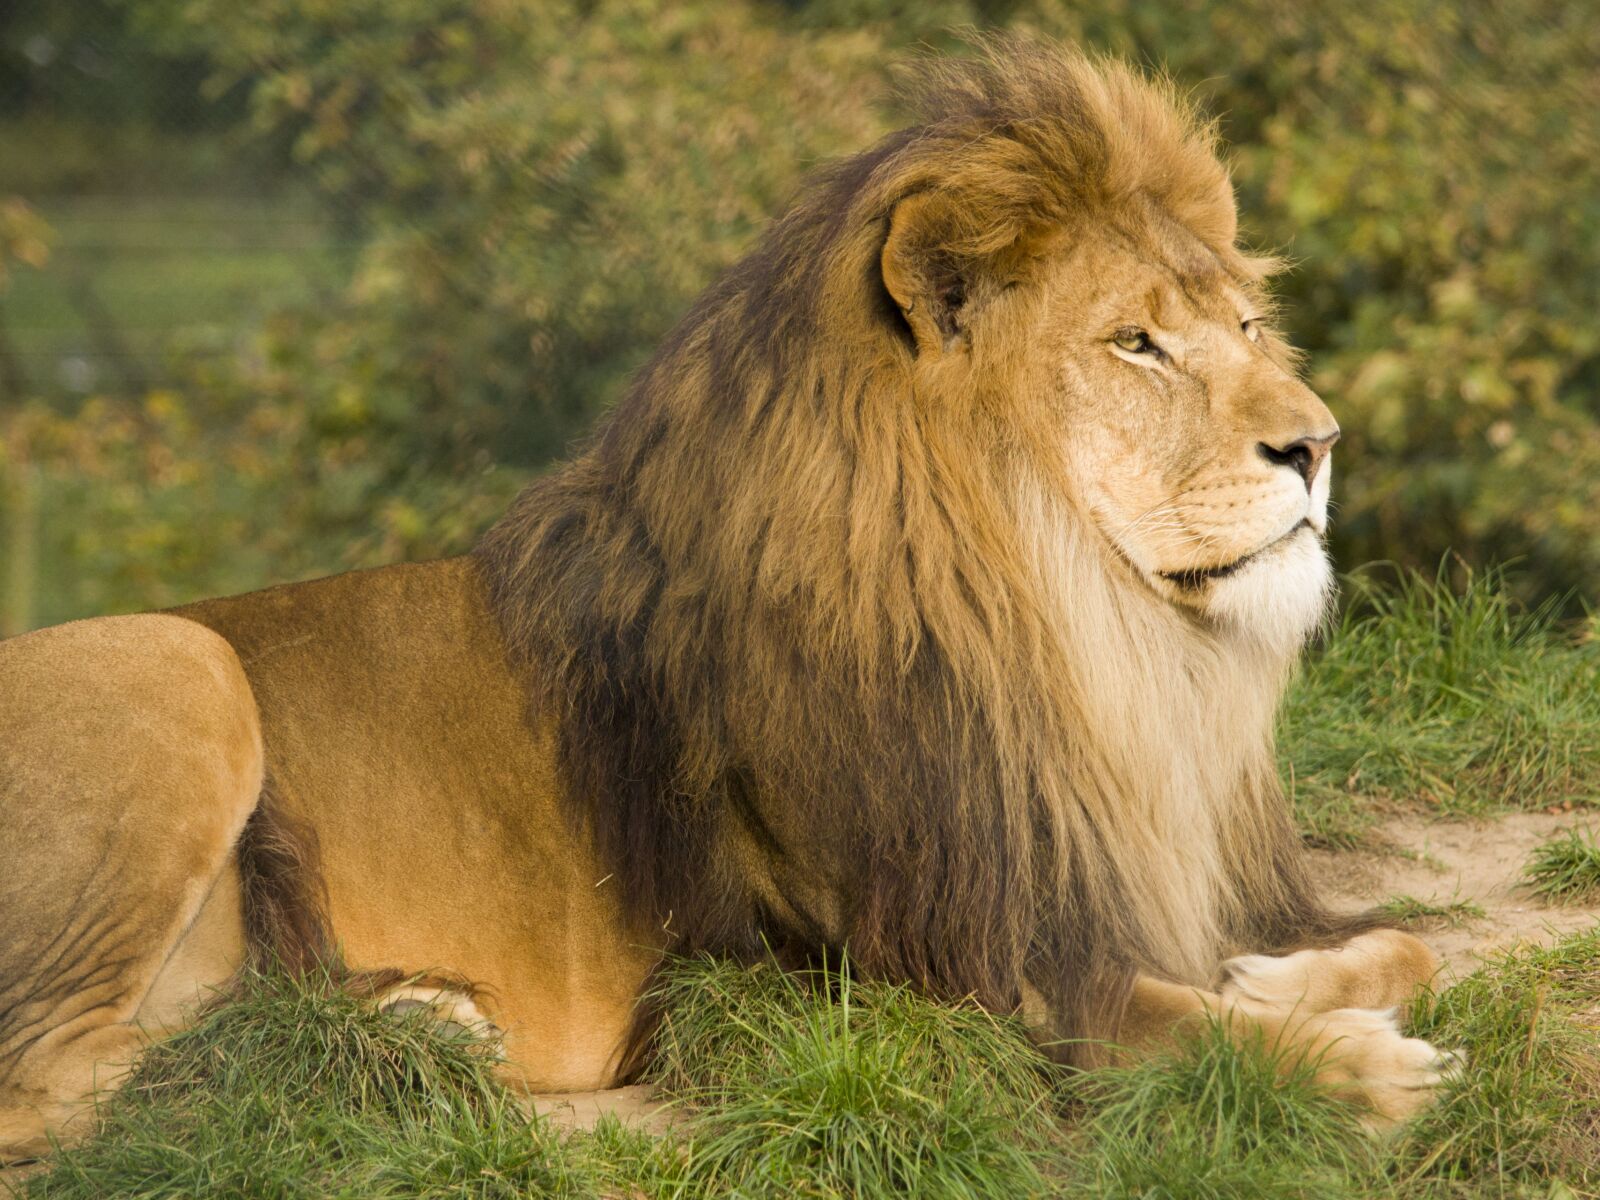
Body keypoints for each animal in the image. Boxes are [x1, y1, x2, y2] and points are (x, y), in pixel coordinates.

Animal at [0, 39, 1457, 1162]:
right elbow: (1166, 1032)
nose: (1319, 444)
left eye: (1247, 327)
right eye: (1134, 343)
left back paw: (408, 1023)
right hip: (176, 661)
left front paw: (1285, 983)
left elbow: (1404, 943)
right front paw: (1357, 1070)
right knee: (55, 1080)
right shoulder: (923, 969)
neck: (1091, 645)